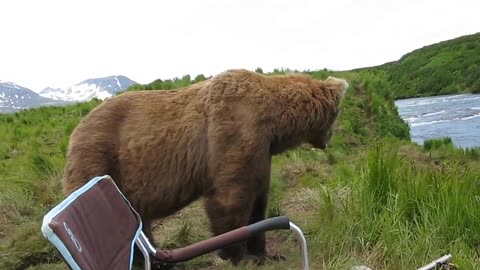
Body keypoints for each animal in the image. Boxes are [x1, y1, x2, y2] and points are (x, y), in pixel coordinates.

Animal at [62, 68, 348, 266]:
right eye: (336, 114)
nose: (329, 141)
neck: (274, 122)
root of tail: (75, 131)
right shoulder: (232, 130)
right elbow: (230, 199)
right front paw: (239, 255)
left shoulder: (261, 152)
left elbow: (259, 200)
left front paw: (264, 253)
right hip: (100, 160)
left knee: (140, 222)